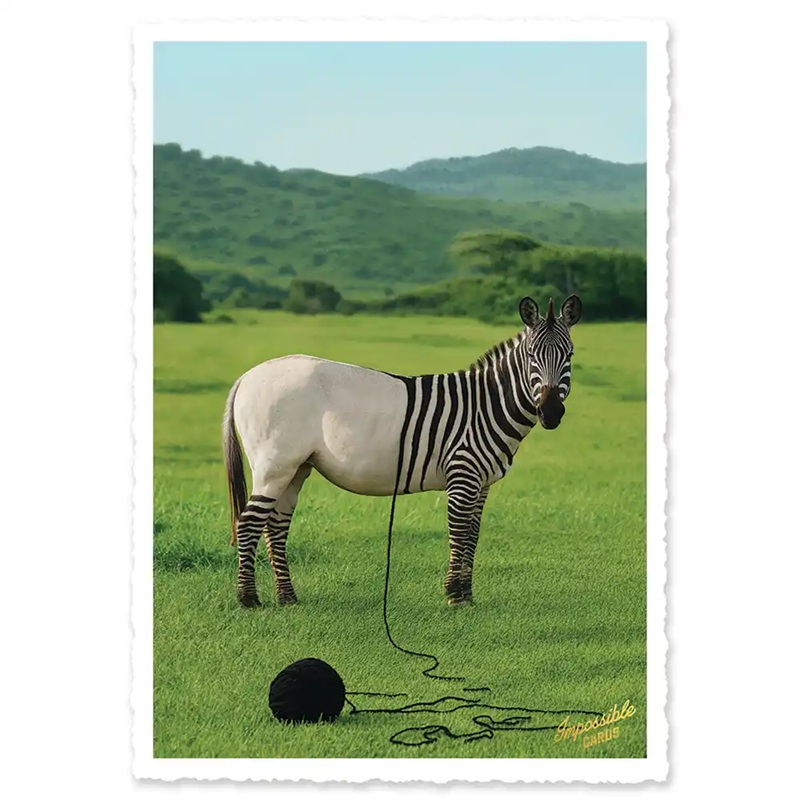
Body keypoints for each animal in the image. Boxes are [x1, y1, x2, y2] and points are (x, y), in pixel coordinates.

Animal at [223, 294, 582, 608]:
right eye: (532, 356)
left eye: (570, 355)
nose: (551, 413)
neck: (484, 408)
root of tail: (247, 375)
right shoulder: (462, 474)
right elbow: (458, 531)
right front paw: (455, 595)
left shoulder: (482, 483)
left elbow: (473, 534)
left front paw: (466, 594)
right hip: (274, 465)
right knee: (249, 522)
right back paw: (248, 599)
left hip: (296, 468)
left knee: (275, 524)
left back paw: (287, 597)